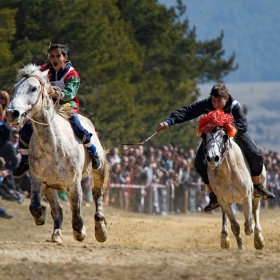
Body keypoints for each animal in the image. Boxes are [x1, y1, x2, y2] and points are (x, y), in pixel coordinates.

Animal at [6, 64, 109, 244]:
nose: (12, 113)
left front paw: (80, 232)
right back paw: (57, 233)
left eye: (34, 88)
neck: (53, 147)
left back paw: (100, 230)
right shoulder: (39, 180)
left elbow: (76, 210)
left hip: (99, 171)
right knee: (58, 209)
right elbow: (35, 206)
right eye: (15, 87)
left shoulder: (74, 183)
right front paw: (41, 215)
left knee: (98, 196)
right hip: (51, 187)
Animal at [200, 110, 266, 250]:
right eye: (204, 136)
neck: (228, 173)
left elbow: (248, 226)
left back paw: (259, 239)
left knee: (255, 210)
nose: (212, 158)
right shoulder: (223, 201)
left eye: (224, 135)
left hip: (256, 195)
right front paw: (239, 247)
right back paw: (224, 238)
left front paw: (255, 234)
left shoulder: (246, 197)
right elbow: (235, 226)